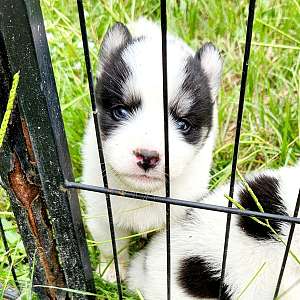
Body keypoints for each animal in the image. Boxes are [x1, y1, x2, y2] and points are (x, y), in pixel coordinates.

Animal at [82, 18, 223, 282]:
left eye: (183, 124)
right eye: (120, 112)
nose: (147, 156)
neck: (144, 194)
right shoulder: (103, 214)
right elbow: (112, 247)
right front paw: (112, 272)